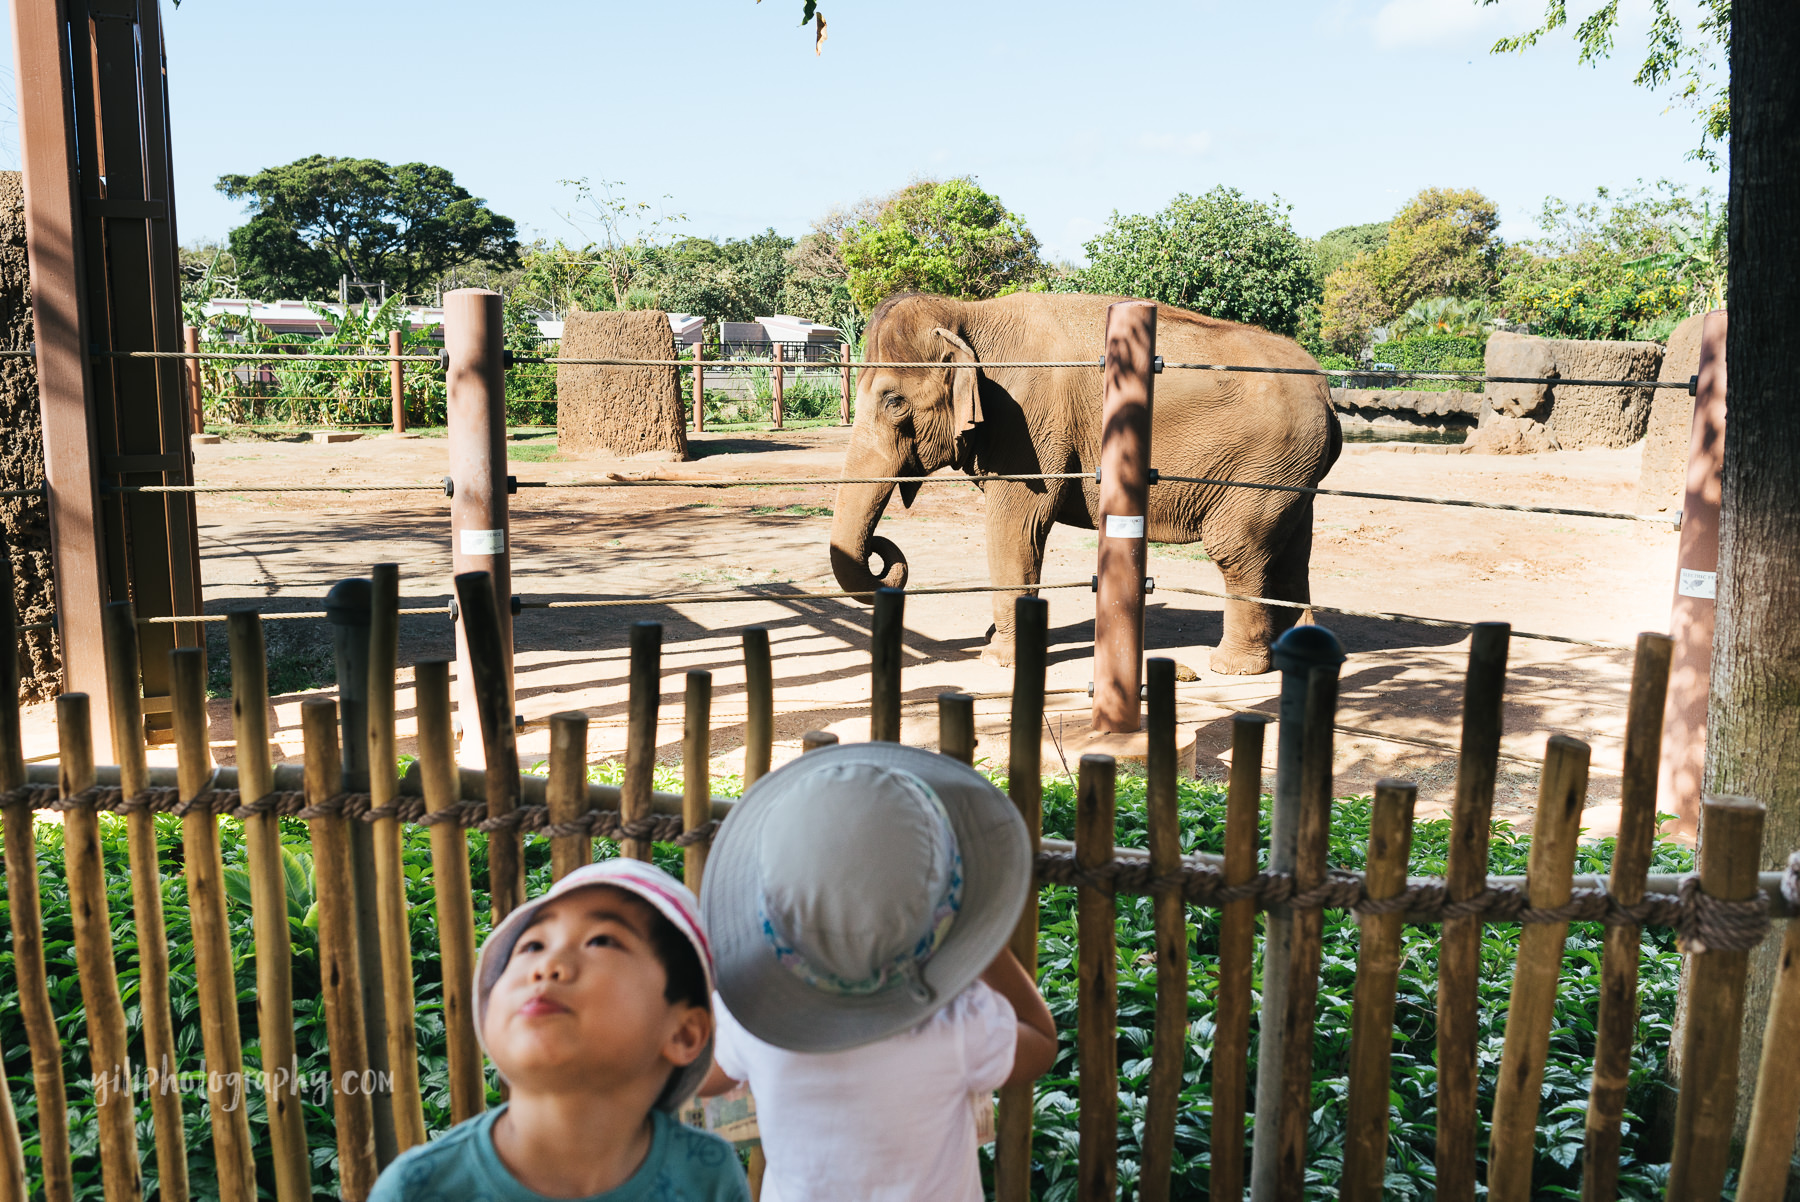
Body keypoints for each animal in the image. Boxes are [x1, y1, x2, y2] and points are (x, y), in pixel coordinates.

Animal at [824, 293, 1339, 676]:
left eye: (893, 403)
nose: (881, 552)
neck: (968, 313)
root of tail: (1326, 390)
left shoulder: (1029, 422)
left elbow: (1017, 525)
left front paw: (997, 659)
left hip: (1263, 467)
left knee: (1238, 550)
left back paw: (1232, 667)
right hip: (1292, 471)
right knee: (1293, 552)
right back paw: (1296, 653)